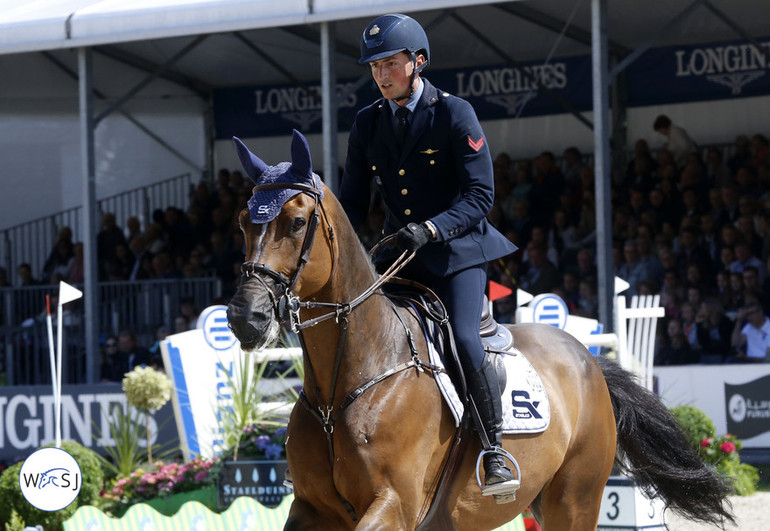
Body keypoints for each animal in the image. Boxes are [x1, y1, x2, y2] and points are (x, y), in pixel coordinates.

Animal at [225, 131, 728, 528]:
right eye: (243, 223)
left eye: (295, 223)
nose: (245, 318)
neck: (349, 380)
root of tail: (586, 358)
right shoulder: (311, 509)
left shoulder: (394, 505)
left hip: (575, 498)